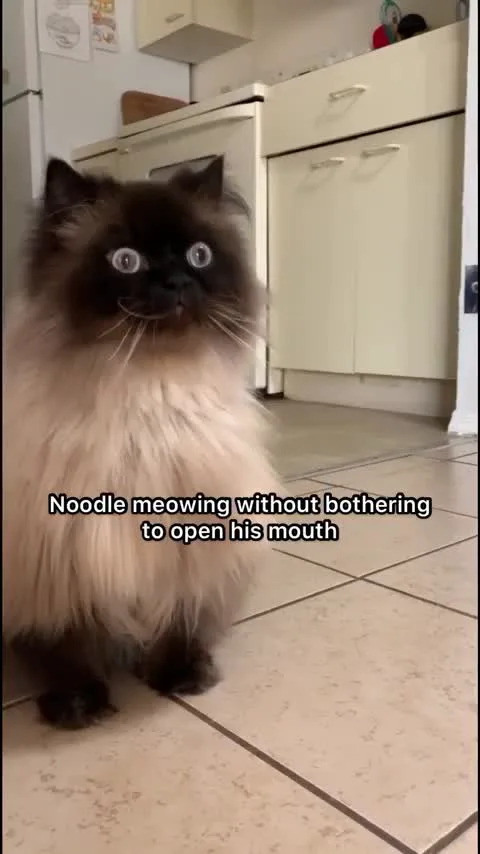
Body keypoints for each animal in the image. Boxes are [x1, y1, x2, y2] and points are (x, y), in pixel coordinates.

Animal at [3, 156, 280, 730]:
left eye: (199, 255)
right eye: (125, 261)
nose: (176, 280)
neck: (147, 397)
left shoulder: (188, 551)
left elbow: (181, 624)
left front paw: (181, 678)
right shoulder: (62, 566)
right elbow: (67, 646)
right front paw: (78, 704)